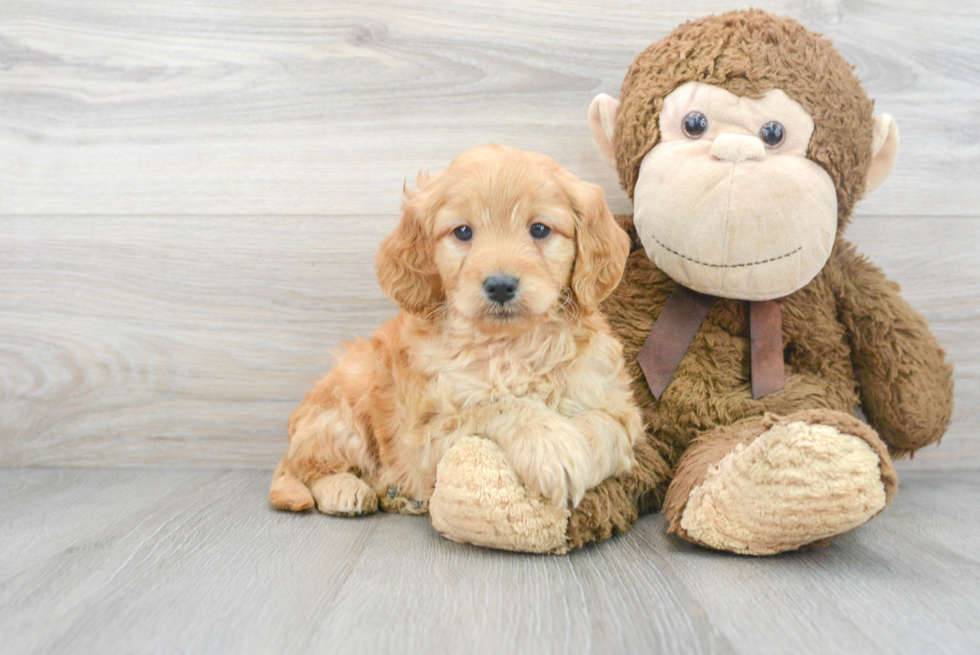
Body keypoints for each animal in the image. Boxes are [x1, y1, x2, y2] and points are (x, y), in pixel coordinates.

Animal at [270, 145, 644, 516]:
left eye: (540, 229)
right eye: (463, 232)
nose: (500, 286)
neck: (511, 347)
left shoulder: (619, 407)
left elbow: (606, 427)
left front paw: (576, 449)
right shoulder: (426, 435)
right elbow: (497, 405)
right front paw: (551, 444)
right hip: (346, 407)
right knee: (305, 467)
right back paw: (346, 489)